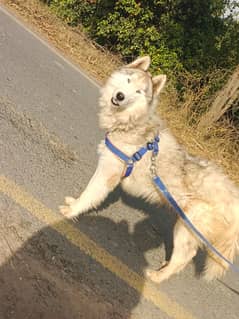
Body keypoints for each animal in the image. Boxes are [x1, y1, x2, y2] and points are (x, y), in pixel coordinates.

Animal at [59, 56, 239, 284]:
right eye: (128, 81)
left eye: (138, 92)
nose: (120, 96)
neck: (130, 123)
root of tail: (234, 198)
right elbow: (86, 192)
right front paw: (73, 202)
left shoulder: (109, 172)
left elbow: (90, 194)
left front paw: (73, 211)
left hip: (186, 229)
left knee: (184, 257)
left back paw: (159, 276)